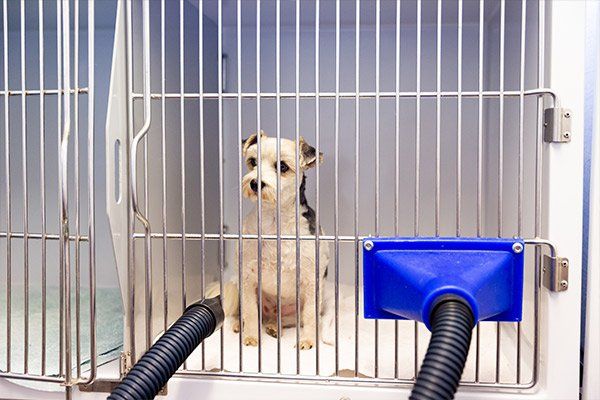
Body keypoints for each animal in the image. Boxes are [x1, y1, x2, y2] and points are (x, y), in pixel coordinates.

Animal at [210, 132, 332, 350]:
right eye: (253, 162)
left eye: (282, 166)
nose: (255, 183)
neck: (274, 223)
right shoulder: (248, 278)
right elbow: (250, 313)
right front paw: (251, 337)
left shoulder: (311, 280)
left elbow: (310, 316)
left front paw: (308, 341)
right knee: (249, 314)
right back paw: (241, 325)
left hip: (294, 311)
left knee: (288, 320)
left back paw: (275, 327)